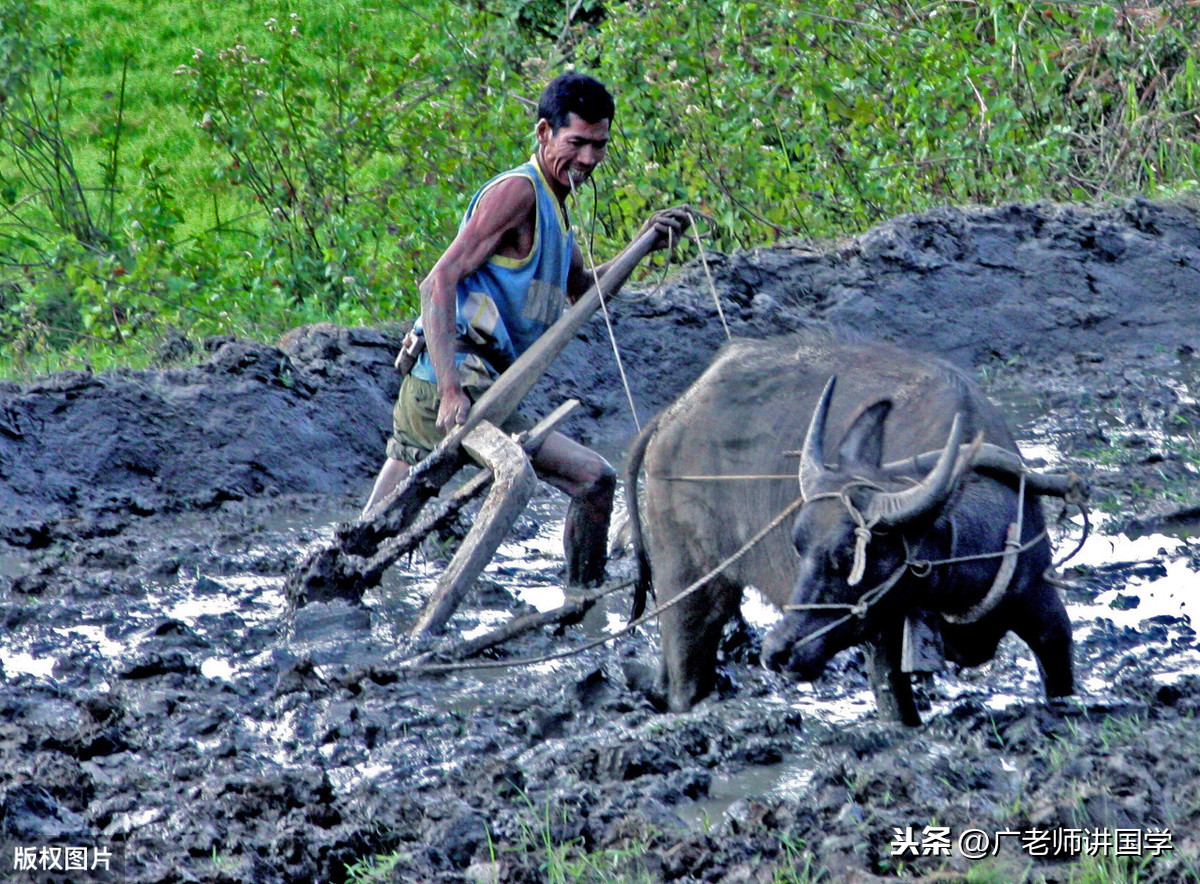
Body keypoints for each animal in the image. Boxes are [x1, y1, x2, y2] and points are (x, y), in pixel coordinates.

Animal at [628, 331, 1080, 724]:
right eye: (799, 546)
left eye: (848, 557)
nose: (778, 651)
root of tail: (673, 414)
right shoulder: (882, 635)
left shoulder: (1041, 605)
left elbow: (1059, 663)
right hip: (689, 582)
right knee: (687, 676)